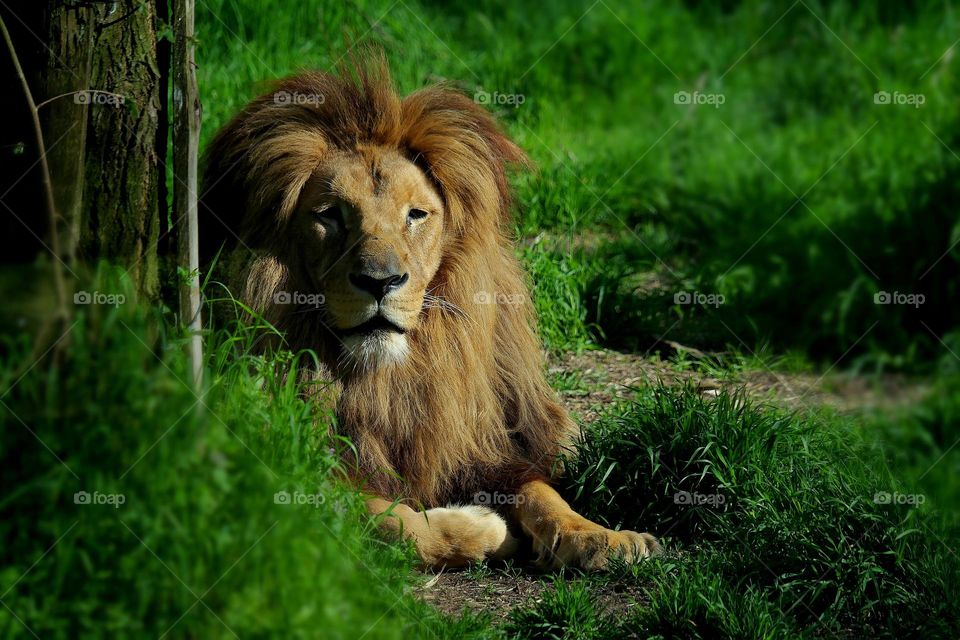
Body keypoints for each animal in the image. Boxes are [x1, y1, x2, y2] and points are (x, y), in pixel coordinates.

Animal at [200, 54, 659, 570]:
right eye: (330, 214)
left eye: (416, 215)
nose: (380, 281)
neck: (388, 377)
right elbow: (395, 522)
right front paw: (486, 530)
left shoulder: (477, 442)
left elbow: (541, 491)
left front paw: (604, 536)